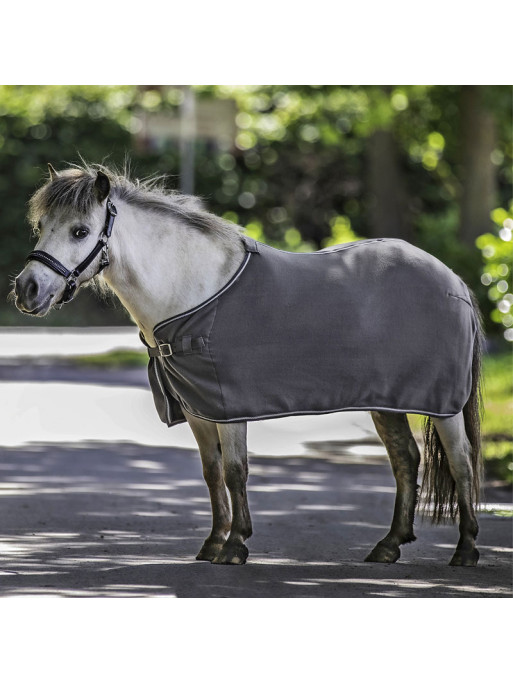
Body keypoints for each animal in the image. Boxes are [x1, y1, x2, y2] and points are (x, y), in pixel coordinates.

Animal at [13, 164, 484, 568]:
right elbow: (211, 472)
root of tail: (453, 281)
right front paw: (213, 542)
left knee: (461, 461)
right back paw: (389, 546)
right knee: (406, 459)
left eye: (80, 231)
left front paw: (236, 545)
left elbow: (236, 471)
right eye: (41, 226)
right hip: (387, 402)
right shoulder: (198, 409)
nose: (26, 289)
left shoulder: (228, 405)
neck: (192, 290)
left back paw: (465, 549)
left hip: (443, 404)